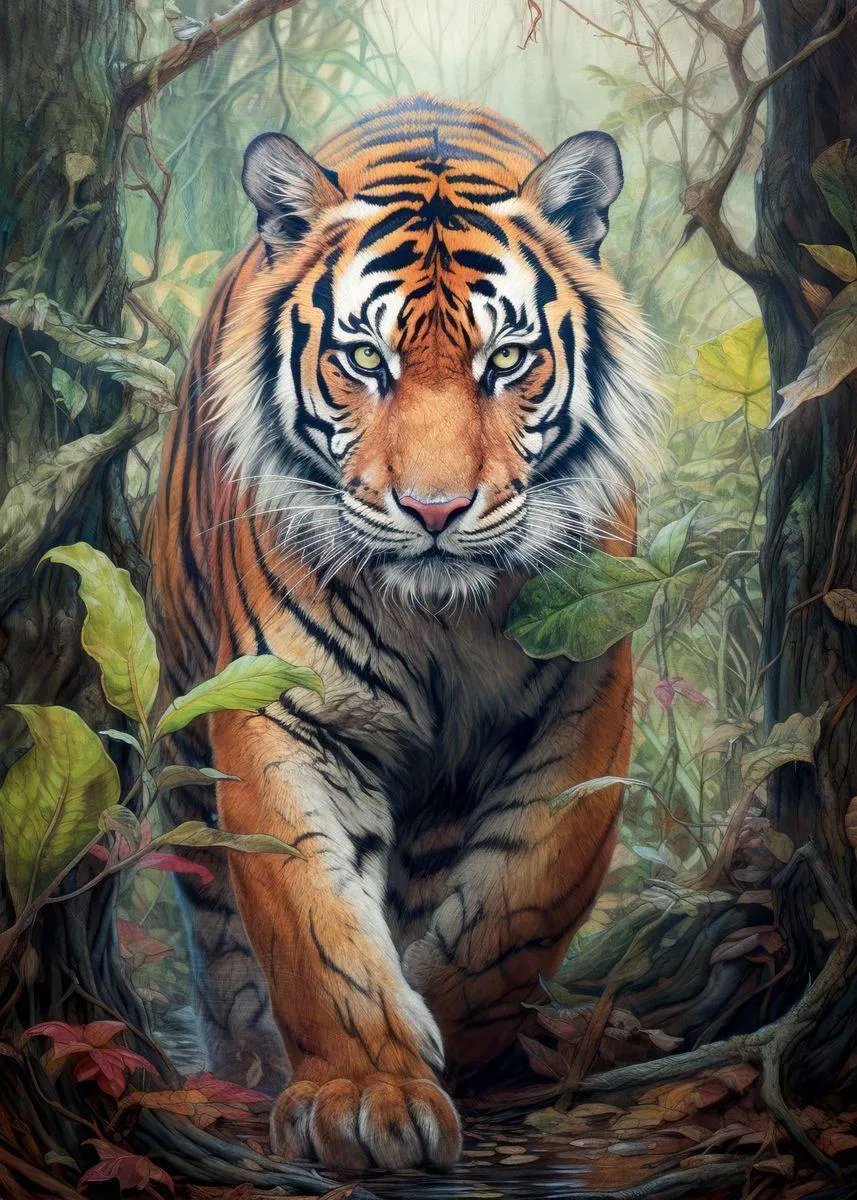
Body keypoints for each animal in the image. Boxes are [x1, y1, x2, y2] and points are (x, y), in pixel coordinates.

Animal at [144, 95, 658, 1171]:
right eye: (362, 360)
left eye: (505, 359)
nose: (432, 510)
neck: (441, 619)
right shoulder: (283, 713)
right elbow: (312, 922)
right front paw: (364, 1095)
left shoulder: (583, 709)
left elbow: (514, 915)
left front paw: (446, 1039)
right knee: (217, 925)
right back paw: (243, 1060)